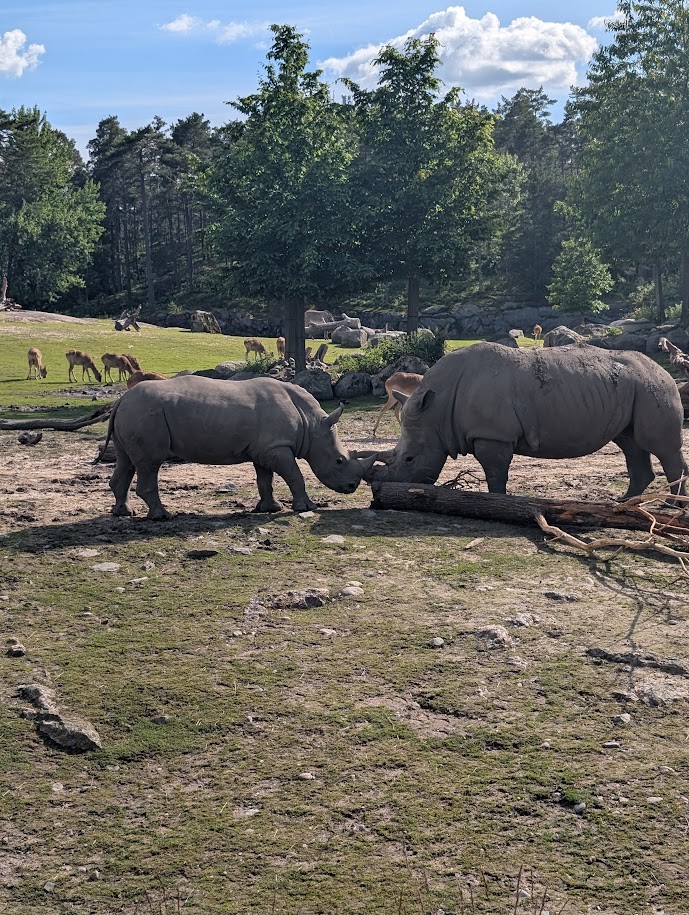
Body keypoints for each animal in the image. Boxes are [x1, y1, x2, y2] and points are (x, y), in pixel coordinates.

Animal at [101, 375, 373, 519]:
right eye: (339, 460)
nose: (352, 487)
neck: (312, 424)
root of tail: (121, 400)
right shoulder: (276, 448)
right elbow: (295, 476)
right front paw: (307, 508)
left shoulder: (265, 450)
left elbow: (265, 480)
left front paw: (269, 509)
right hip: (144, 414)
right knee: (150, 463)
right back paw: (163, 516)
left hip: (134, 413)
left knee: (127, 462)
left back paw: (124, 513)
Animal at [366, 342, 688, 498]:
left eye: (409, 459)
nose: (385, 489)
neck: (436, 410)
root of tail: (665, 370)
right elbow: (495, 472)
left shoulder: (492, 435)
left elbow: (495, 473)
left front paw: (497, 502)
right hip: (634, 389)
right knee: (631, 443)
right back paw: (624, 503)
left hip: (654, 387)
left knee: (660, 447)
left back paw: (670, 507)